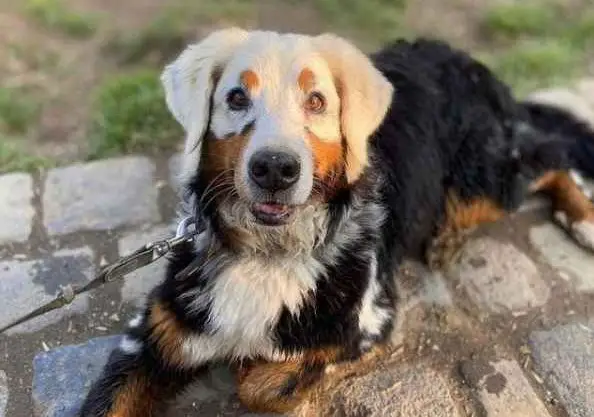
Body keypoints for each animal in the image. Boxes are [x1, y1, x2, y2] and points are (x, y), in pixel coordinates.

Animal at [78, 29, 592, 416]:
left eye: (317, 101)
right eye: (236, 97)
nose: (275, 169)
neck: (270, 250)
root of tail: (467, 61)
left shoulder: (367, 324)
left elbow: (265, 384)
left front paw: (254, 367)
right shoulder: (149, 338)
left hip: (480, 179)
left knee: (549, 159)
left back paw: (578, 221)